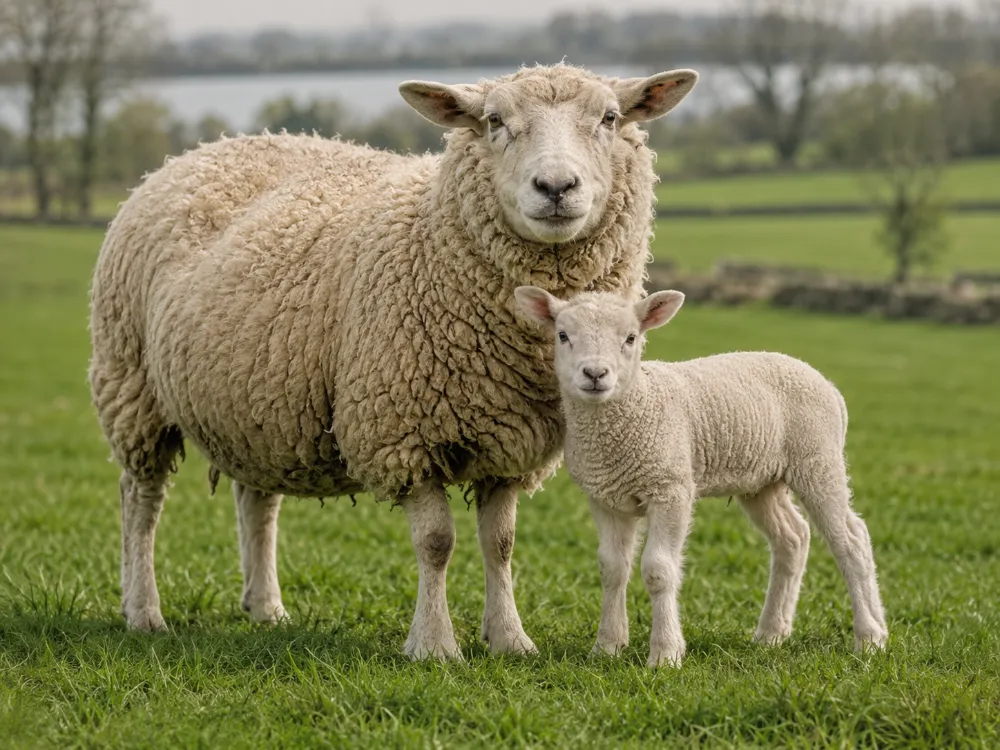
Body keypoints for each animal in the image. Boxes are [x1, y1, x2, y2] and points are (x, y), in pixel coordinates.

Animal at [88, 63, 699, 658]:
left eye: (610, 117)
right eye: (494, 120)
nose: (555, 187)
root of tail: (205, 149)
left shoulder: (509, 440)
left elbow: (500, 544)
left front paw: (509, 639)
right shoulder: (404, 433)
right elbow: (436, 543)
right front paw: (434, 645)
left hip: (258, 400)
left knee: (257, 501)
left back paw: (265, 609)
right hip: (132, 385)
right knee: (140, 501)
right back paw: (143, 611)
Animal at [513, 286, 888, 667]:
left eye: (631, 338)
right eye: (562, 335)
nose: (595, 373)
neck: (635, 405)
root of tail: (825, 383)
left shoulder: (671, 488)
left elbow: (658, 569)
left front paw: (665, 654)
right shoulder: (606, 497)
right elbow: (612, 568)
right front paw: (607, 647)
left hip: (817, 460)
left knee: (851, 540)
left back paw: (870, 637)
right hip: (762, 481)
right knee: (793, 538)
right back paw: (771, 634)